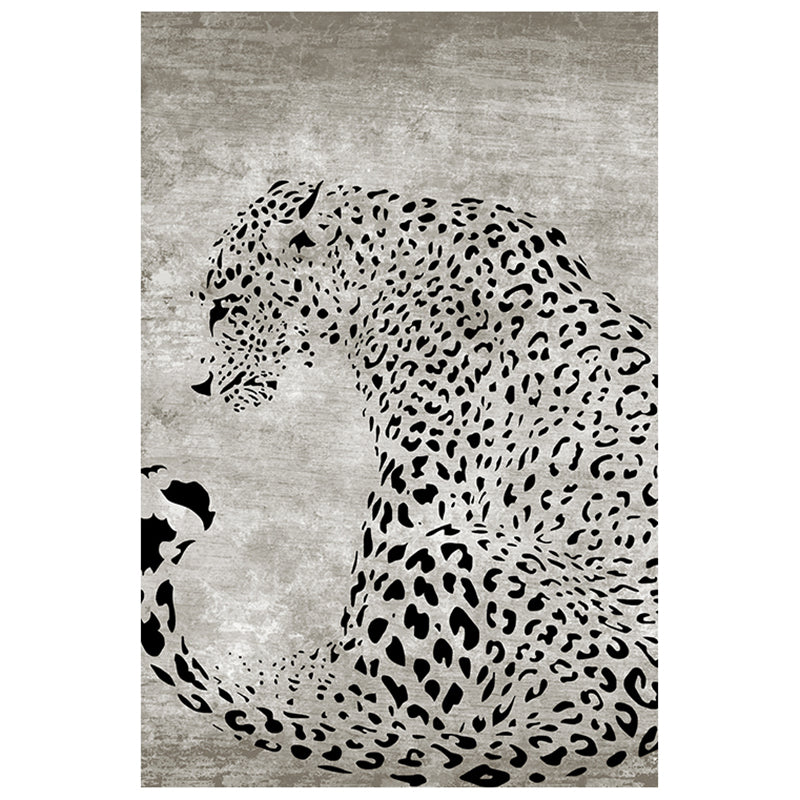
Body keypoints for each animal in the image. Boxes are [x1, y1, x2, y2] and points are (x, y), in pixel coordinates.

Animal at [142, 179, 658, 786]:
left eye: (225, 307)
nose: (198, 383)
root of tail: (616, 717)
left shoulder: (418, 486)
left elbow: (357, 616)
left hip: (450, 551)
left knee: (382, 702)